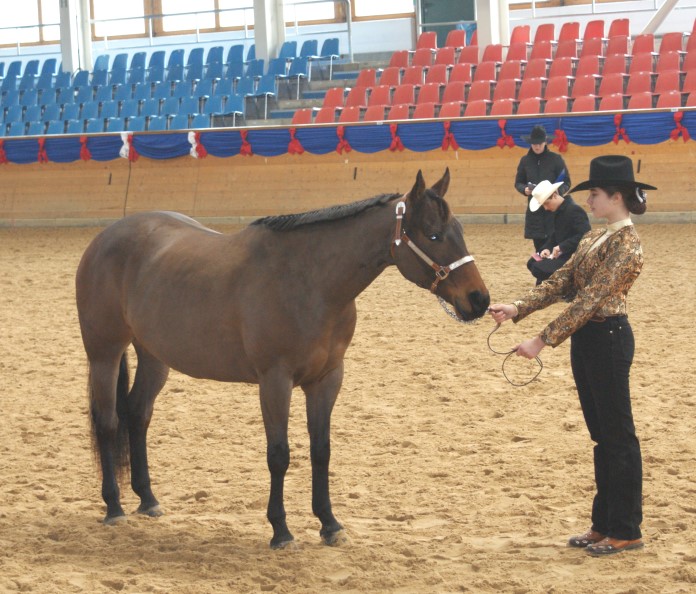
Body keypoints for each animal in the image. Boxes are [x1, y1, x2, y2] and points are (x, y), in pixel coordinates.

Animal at [76, 166, 490, 544]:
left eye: (460, 232)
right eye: (433, 235)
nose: (479, 300)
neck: (310, 282)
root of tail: (105, 238)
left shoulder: (327, 379)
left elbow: (321, 450)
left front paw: (329, 524)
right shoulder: (275, 381)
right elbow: (279, 453)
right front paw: (281, 529)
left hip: (154, 356)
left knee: (138, 414)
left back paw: (147, 499)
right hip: (104, 353)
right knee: (108, 421)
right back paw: (114, 506)